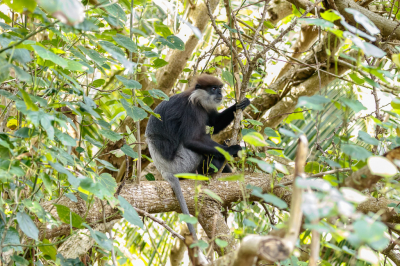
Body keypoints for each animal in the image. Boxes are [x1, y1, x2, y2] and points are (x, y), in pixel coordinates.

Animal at [144, 74, 250, 238]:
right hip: (184, 163)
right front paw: (232, 149)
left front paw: (240, 105)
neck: (196, 98)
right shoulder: (192, 110)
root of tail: (165, 170)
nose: (220, 93)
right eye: (213, 88)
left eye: (219, 88)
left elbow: (214, 123)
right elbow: (192, 140)